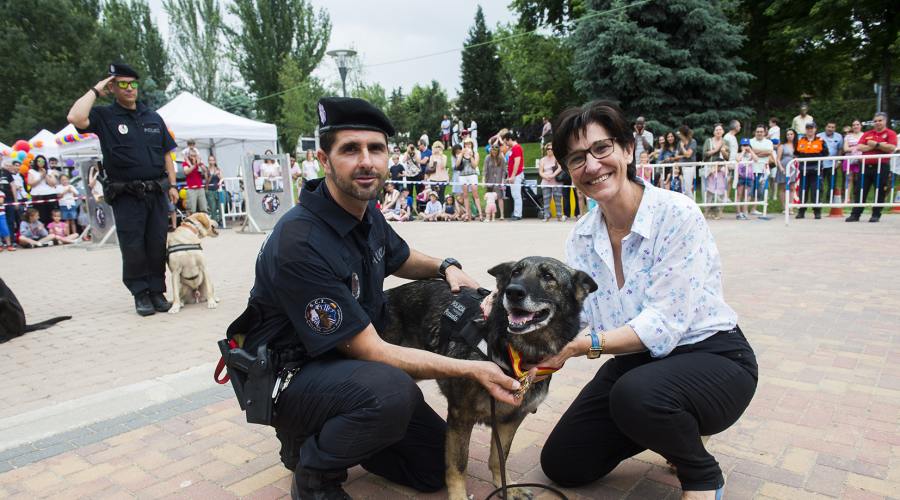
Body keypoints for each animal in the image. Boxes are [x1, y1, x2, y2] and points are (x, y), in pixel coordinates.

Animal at [382, 258, 596, 500]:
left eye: (548, 276)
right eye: (515, 273)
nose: (513, 292)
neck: (513, 353)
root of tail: (388, 294)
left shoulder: (510, 419)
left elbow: (499, 457)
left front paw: (506, 487)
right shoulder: (460, 417)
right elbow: (458, 465)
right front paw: (458, 497)